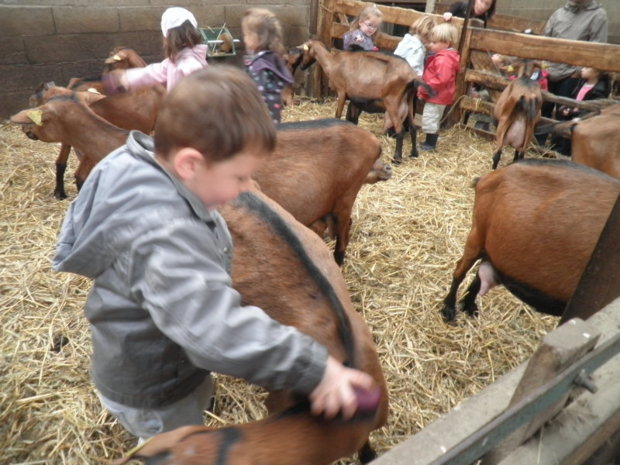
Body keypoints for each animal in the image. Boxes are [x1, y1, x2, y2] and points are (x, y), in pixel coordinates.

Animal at [440, 158, 620, 320]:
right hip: (478, 233)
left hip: (495, 243)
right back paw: (449, 308)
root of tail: (493, 175)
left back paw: (469, 305)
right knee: (460, 270)